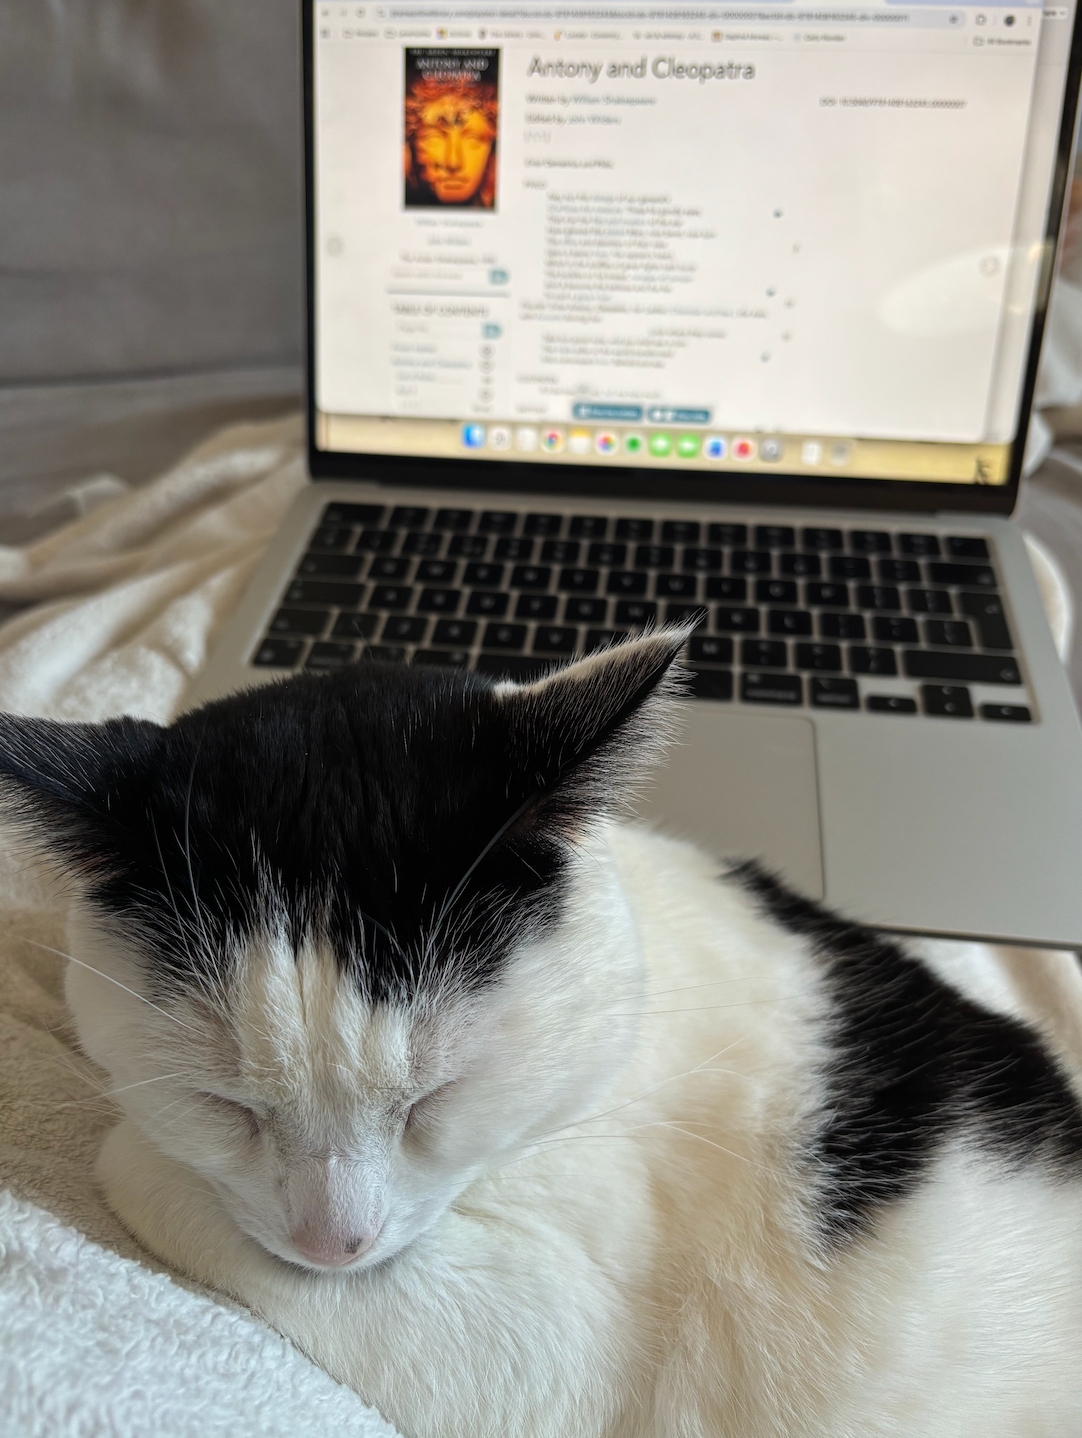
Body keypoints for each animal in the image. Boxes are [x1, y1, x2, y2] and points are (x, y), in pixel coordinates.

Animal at [2, 628, 1082, 1438]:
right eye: (223, 1104)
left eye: (434, 1101)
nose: (334, 1243)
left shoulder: (549, 1349)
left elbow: (130, 1165)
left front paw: (134, 1157)